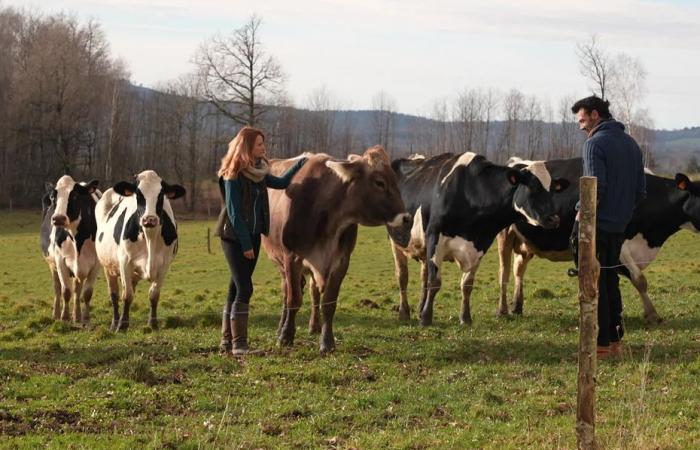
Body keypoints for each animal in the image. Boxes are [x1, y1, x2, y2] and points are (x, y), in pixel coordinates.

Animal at [40, 175, 101, 324]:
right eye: (53, 197)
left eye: (74, 196)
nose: (58, 218)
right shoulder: (60, 260)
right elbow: (65, 291)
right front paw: (64, 316)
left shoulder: (96, 264)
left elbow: (87, 292)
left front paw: (86, 318)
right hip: (52, 264)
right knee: (57, 288)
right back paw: (56, 314)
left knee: (77, 289)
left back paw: (77, 315)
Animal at [94, 169, 186, 330]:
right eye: (138, 194)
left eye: (161, 195)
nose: (149, 219)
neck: (150, 238)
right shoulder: (125, 262)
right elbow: (127, 295)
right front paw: (122, 326)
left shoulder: (164, 265)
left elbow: (154, 294)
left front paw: (152, 323)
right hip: (108, 267)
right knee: (114, 295)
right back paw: (114, 322)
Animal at [262, 146, 410, 354]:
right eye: (379, 182)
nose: (407, 218)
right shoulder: (292, 257)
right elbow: (293, 300)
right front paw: (286, 336)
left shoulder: (341, 261)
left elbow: (329, 303)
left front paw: (327, 342)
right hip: (281, 263)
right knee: (286, 292)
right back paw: (281, 328)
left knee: (313, 292)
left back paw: (314, 326)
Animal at [388, 153, 568, 326]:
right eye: (532, 187)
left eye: (552, 190)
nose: (554, 219)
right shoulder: (434, 238)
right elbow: (435, 282)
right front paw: (426, 319)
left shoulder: (480, 245)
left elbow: (467, 284)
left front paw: (465, 318)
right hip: (396, 241)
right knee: (402, 276)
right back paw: (404, 312)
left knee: (423, 275)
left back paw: (419, 308)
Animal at [498, 156, 700, 322]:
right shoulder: (620, 245)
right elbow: (639, 279)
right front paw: (652, 314)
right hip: (504, 235)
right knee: (504, 271)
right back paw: (503, 311)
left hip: (526, 242)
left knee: (518, 269)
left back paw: (517, 306)